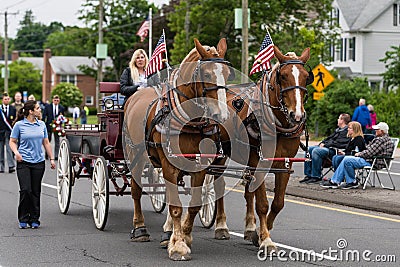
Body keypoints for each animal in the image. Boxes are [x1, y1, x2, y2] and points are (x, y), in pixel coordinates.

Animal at [125, 37, 231, 262]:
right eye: (206, 74)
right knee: (136, 190)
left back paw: (167, 233)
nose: (222, 115)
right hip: (134, 155)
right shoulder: (169, 165)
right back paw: (140, 228)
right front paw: (179, 246)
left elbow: (194, 204)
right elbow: (175, 207)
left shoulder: (200, 165)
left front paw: (183, 236)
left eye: (227, 74)